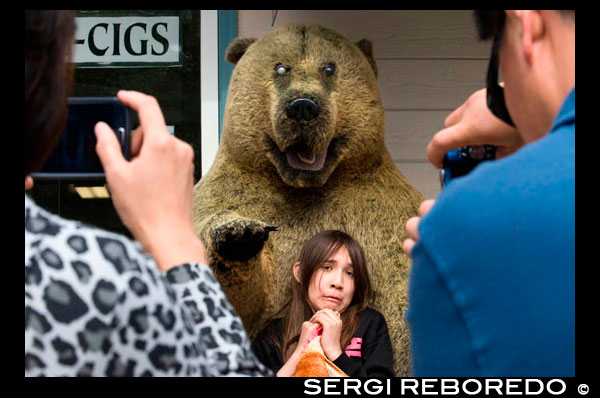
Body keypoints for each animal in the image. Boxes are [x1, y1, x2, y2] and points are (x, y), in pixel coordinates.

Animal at [192, 23, 422, 374]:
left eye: (329, 68)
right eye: (280, 68)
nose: (303, 107)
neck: (305, 184)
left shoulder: (387, 216)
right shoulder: (226, 194)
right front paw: (237, 235)